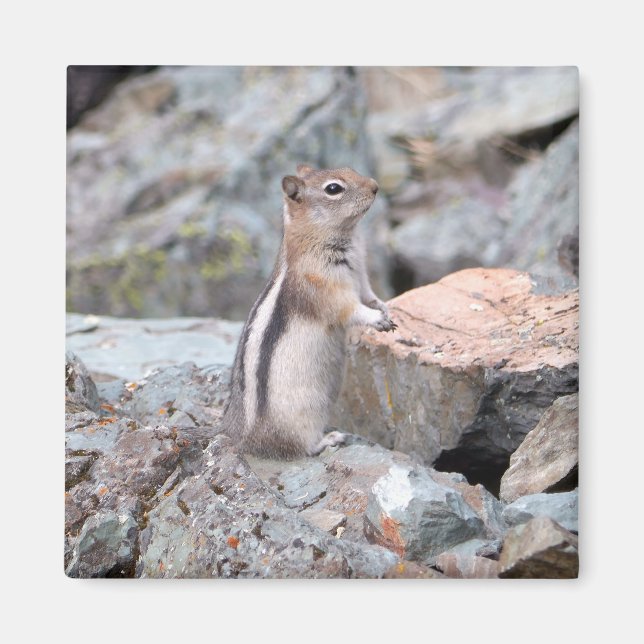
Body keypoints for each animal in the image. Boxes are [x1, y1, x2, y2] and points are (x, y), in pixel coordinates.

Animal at [221, 165, 396, 459]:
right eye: (334, 188)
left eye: (350, 168)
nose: (375, 186)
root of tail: (246, 442)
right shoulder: (326, 288)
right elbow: (350, 310)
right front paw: (377, 319)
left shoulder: (361, 276)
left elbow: (369, 296)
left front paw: (385, 308)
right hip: (305, 413)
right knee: (301, 446)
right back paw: (330, 439)